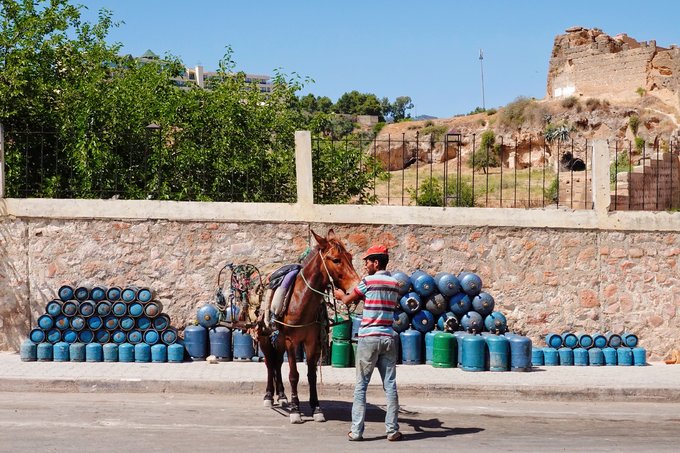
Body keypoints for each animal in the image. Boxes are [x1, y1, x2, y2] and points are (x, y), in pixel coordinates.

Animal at [256, 230, 362, 424]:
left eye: (350, 257)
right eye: (336, 260)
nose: (356, 289)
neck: (301, 299)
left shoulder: (312, 341)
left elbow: (311, 375)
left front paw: (316, 408)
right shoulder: (291, 341)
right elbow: (294, 375)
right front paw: (295, 410)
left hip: (279, 339)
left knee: (276, 362)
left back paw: (281, 395)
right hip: (265, 337)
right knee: (269, 363)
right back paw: (269, 396)